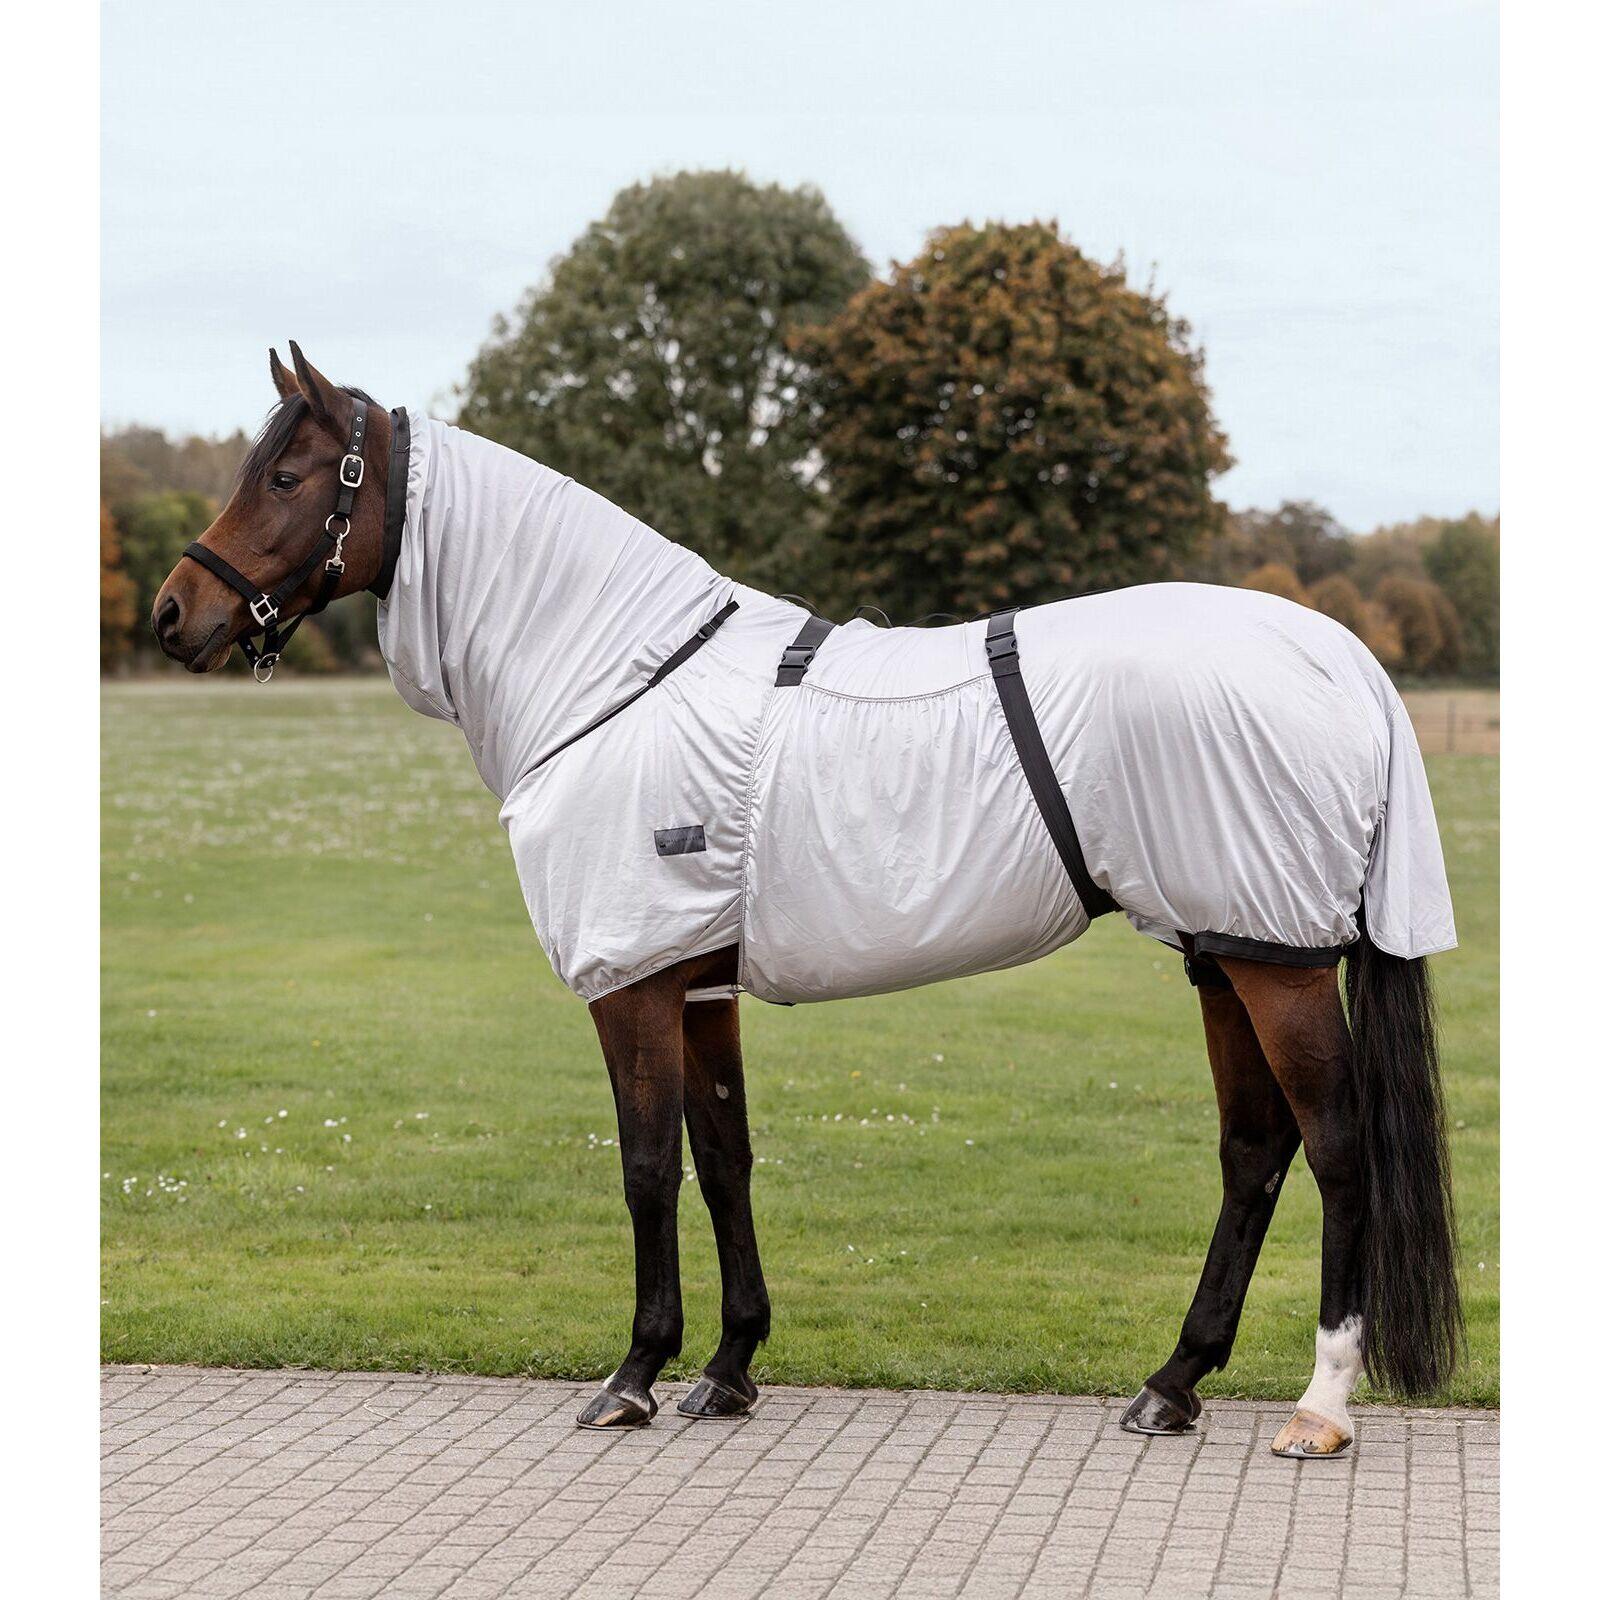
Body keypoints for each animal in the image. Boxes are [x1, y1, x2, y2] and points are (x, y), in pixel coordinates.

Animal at [151, 343, 1463, 1457]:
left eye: (286, 475)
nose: (173, 614)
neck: (617, 675)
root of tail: (1339, 655)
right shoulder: (697, 978)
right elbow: (723, 1153)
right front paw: (727, 1369)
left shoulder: (630, 981)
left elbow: (646, 1164)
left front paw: (632, 1375)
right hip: (1223, 946)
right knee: (1254, 1149)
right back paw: (1172, 1383)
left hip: (1275, 960)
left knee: (1336, 1148)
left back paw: (1317, 1406)